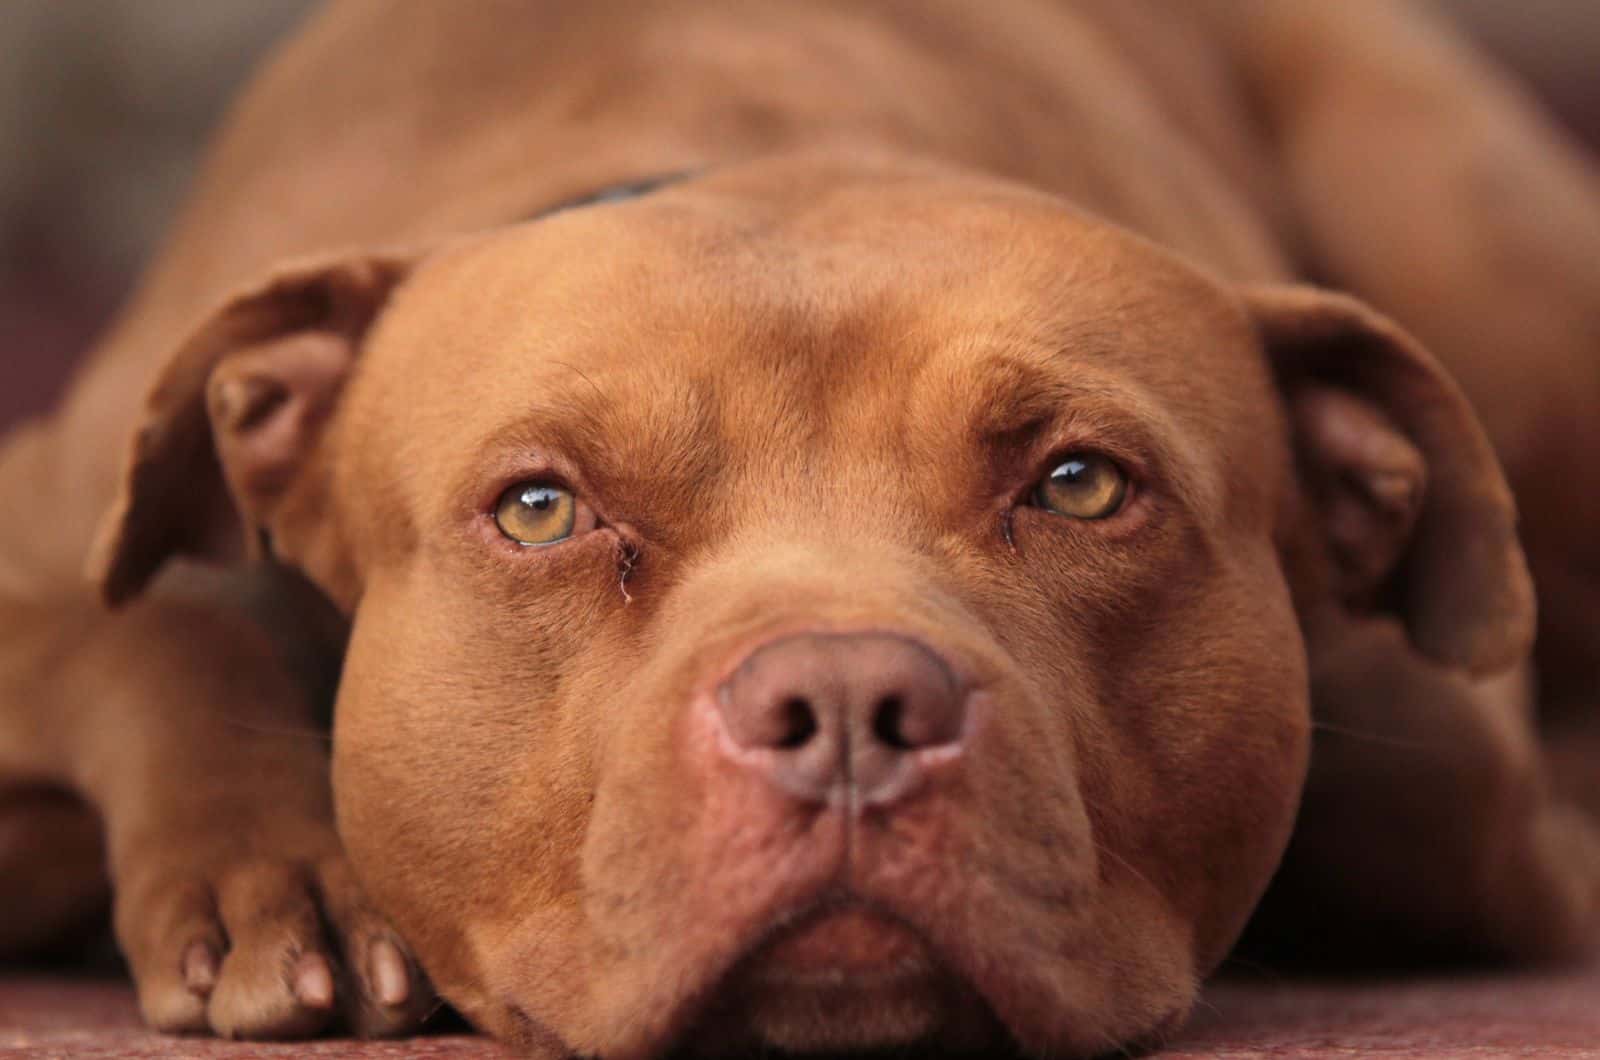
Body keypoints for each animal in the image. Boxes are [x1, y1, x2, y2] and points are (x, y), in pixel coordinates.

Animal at [3, 0, 1600, 1056]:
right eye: (540, 510)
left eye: (1081, 485)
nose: (844, 703)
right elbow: (147, 625)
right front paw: (275, 877)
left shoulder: (1466, 794)